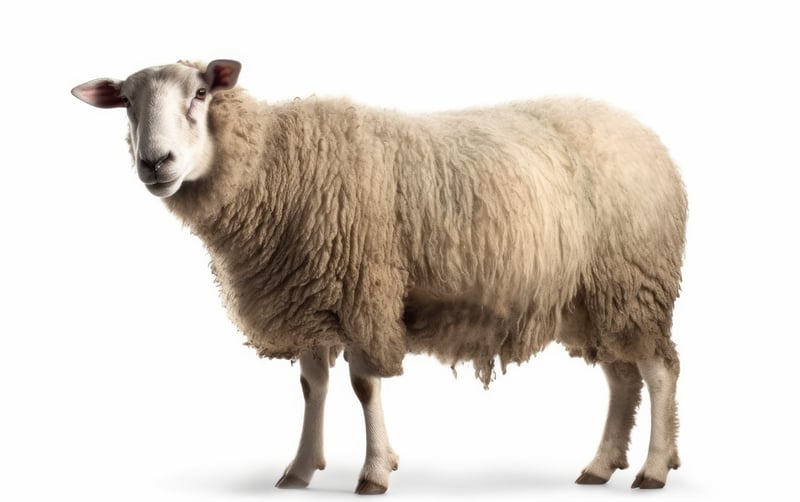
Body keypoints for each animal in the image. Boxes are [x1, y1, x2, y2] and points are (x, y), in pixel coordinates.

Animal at [71, 59, 687, 494]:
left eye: (200, 93)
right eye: (126, 102)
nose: (156, 163)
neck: (274, 164)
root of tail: (645, 136)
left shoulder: (364, 289)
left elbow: (365, 385)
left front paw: (373, 472)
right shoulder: (310, 297)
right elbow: (312, 386)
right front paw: (300, 470)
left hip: (635, 281)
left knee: (658, 371)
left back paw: (652, 470)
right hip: (599, 296)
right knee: (621, 378)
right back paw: (601, 465)